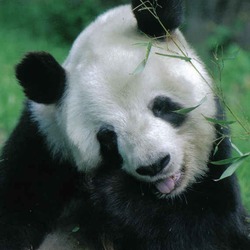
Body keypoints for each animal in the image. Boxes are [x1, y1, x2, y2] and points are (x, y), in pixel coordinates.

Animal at [0, 0, 250, 249]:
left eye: (160, 106)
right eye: (107, 137)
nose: (154, 165)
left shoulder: (218, 160)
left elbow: (210, 230)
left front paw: (113, 190)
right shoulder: (42, 146)